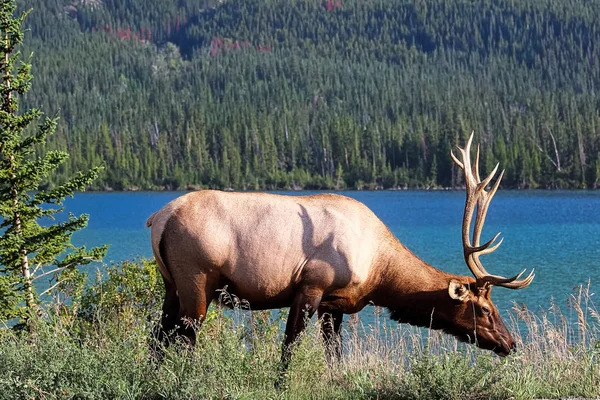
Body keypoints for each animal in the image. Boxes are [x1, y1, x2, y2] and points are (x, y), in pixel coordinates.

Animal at [146, 134, 536, 366]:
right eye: (484, 309)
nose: (511, 343)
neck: (379, 273)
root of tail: (158, 219)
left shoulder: (335, 306)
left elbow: (335, 356)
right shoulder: (311, 287)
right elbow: (288, 349)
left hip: (171, 286)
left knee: (156, 338)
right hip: (197, 281)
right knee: (184, 341)